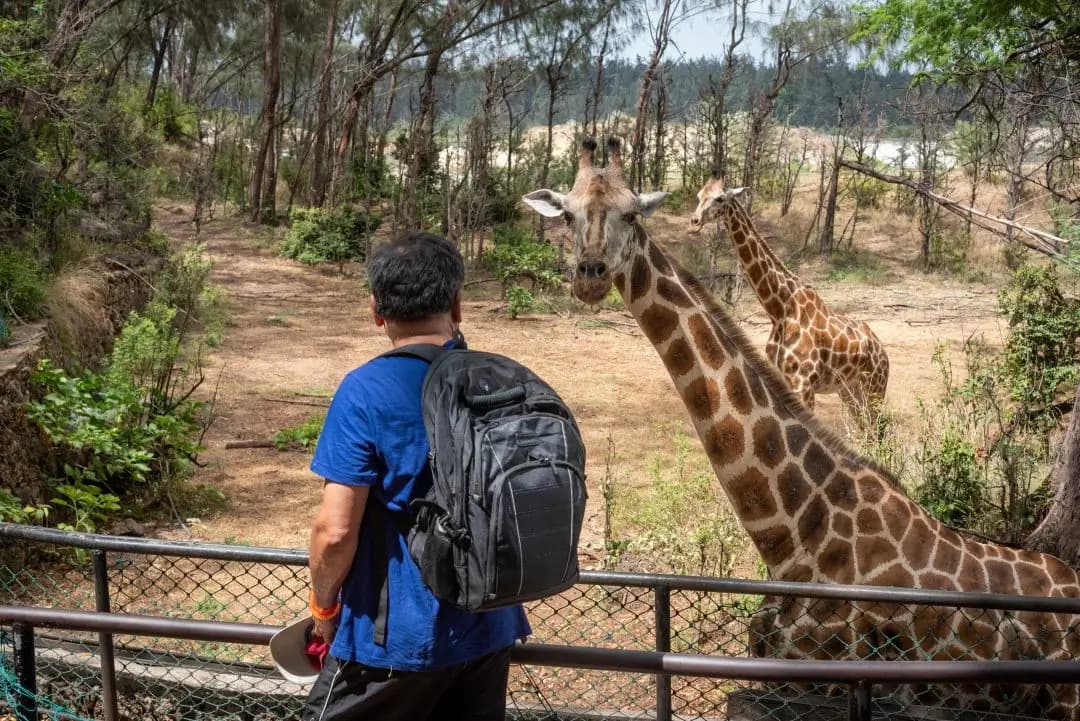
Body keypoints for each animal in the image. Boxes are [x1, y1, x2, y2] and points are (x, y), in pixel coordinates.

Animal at [686, 172, 889, 425]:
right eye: (699, 195)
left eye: (720, 198)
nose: (694, 222)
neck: (779, 308)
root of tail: (883, 351)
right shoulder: (783, 378)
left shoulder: (804, 382)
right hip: (850, 390)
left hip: (874, 388)